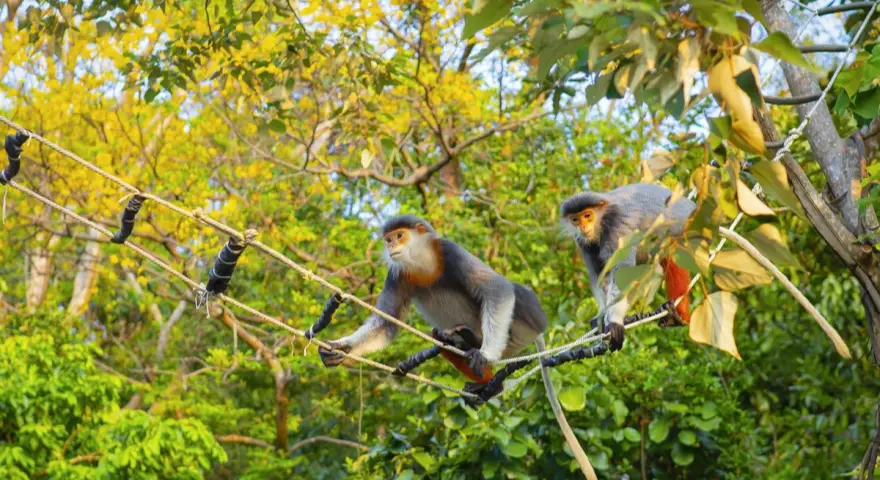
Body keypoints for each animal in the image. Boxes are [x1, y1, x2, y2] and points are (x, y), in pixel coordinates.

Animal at [318, 215, 548, 385]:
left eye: (399, 235)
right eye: (388, 240)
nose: (391, 247)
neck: (424, 263)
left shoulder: (450, 250)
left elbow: (497, 289)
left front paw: (486, 354)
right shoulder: (397, 275)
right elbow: (386, 323)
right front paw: (342, 348)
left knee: (515, 291)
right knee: (440, 335)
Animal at [561, 183, 696, 351]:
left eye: (587, 215)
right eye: (575, 219)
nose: (583, 227)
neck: (602, 219)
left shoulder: (618, 228)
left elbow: (622, 271)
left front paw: (614, 321)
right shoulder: (583, 242)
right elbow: (599, 275)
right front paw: (601, 318)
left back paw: (677, 314)